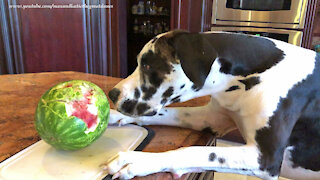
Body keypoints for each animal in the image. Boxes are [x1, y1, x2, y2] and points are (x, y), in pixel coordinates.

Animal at [102, 30, 320, 179]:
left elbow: (196, 151)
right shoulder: (212, 119)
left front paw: (139, 160)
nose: (112, 94)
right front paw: (115, 116)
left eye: (148, 66)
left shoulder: (265, 159)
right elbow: (165, 113)